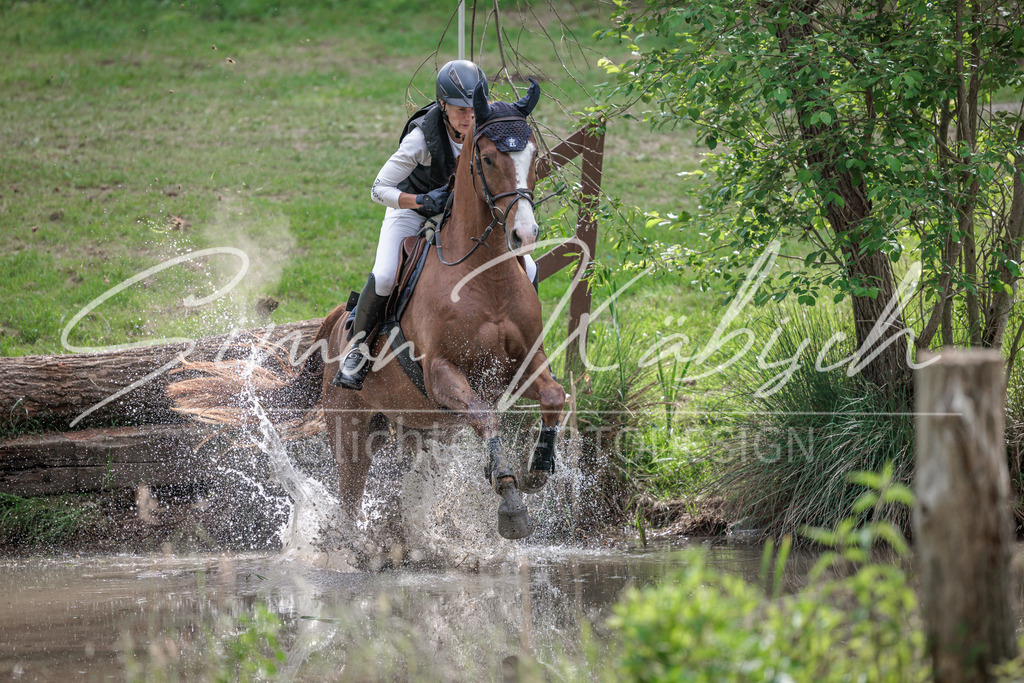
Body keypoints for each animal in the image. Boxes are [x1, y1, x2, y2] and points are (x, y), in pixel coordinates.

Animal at [167, 78, 566, 556]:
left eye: (533, 156)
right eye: (488, 158)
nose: (524, 234)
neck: (484, 278)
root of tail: (336, 321)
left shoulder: (524, 362)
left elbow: (554, 396)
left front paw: (538, 469)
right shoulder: (441, 373)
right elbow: (486, 416)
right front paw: (509, 501)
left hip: (418, 427)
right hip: (352, 431)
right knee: (349, 499)